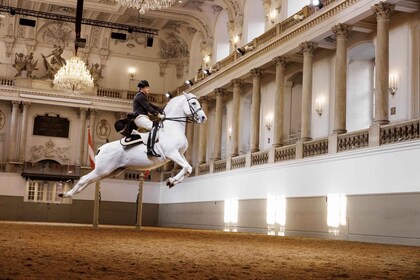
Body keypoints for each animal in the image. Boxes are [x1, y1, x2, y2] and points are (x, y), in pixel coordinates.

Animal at [60, 92, 208, 197]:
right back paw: (66, 194)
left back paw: (67, 194)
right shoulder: (172, 153)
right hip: (103, 169)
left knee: (89, 181)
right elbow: (186, 168)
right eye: (193, 103)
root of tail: (100, 149)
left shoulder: (180, 154)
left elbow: (188, 169)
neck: (172, 128)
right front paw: (171, 180)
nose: (203, 118)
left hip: (109, 172)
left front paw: (171, 181)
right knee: (83, 179)